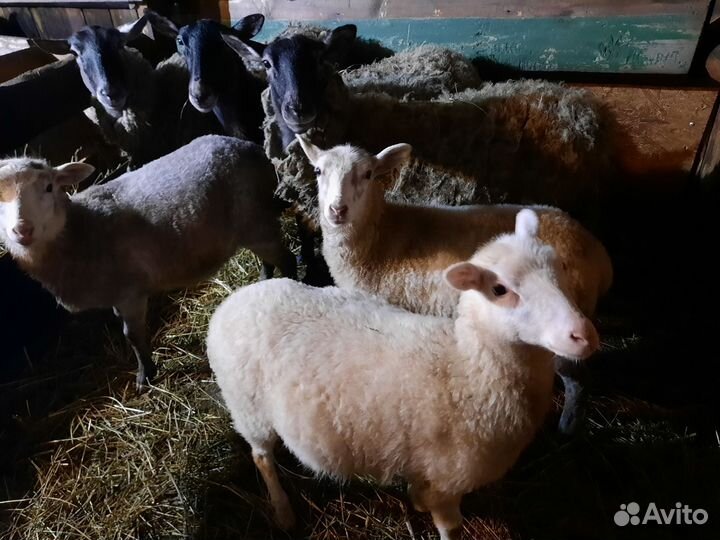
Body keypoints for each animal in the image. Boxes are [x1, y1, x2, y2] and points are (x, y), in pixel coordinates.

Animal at [0, 135, 296, 390]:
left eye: (49, 187)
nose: (22, 230)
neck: (81, 230)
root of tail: (250, 146)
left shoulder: (131, 293)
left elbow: (131, 334)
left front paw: (146, 375)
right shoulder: (117, 295)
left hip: (255, 219)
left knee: (287, 258)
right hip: (251, 226)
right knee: (267, 259)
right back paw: (264, 282)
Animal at [206, 209, 599, 539]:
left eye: (559, 267)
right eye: (500, 290)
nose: (583, 335)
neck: (469, 369)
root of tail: (233, 301)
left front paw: (416, 502)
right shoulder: (447, 480)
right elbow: (450, 528)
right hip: (249, 409)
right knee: (261, 456)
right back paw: (283, 511)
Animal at [296, 137, 613, 434]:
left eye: (368, 174)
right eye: (318, 171)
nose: (337, 210)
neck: (380, 237)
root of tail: (598, 252)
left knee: (577, 379)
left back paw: (568, 424)